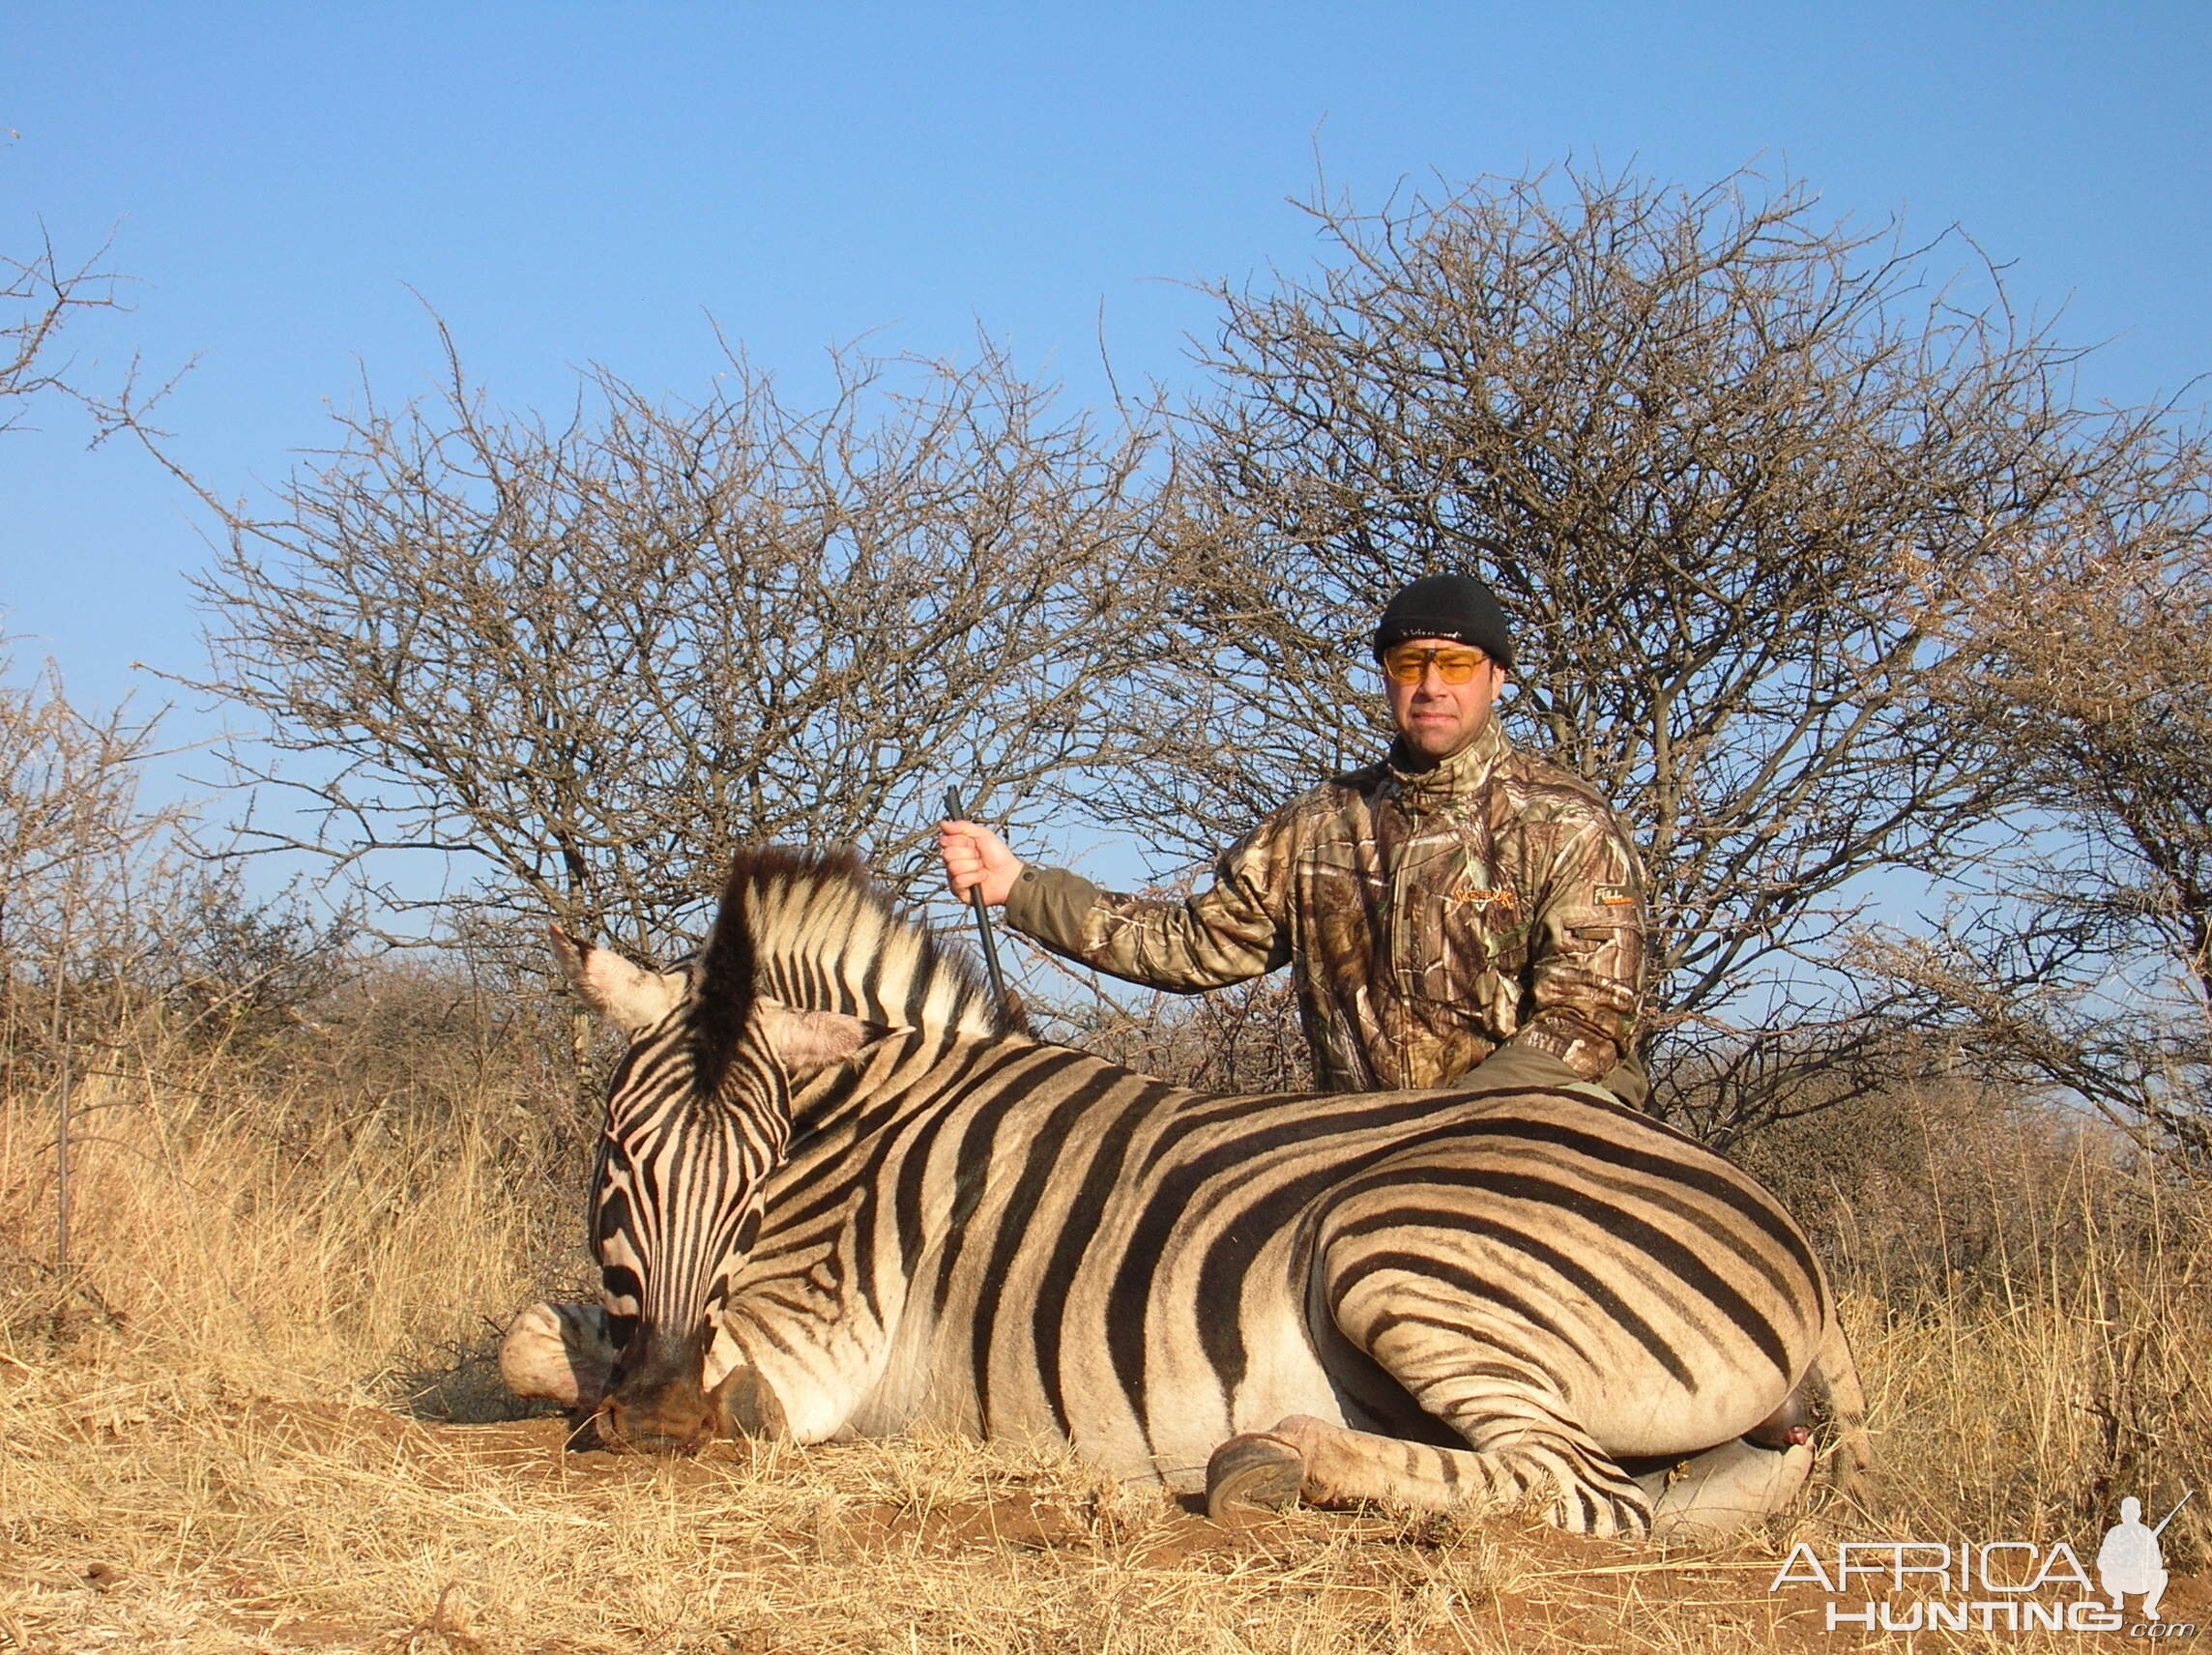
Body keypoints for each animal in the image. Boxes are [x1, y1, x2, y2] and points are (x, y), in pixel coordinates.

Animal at [509, 854, 1876, 1539]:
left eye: (756, 1177)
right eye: (619, 1155)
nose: (662, 1414)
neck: (856, 1123)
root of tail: (1792, 1246)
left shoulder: (811, 1341)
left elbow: (601, 1361)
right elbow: (536, 1335)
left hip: (1397, 1249)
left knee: (1581, 1490)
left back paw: (1275, 1457)